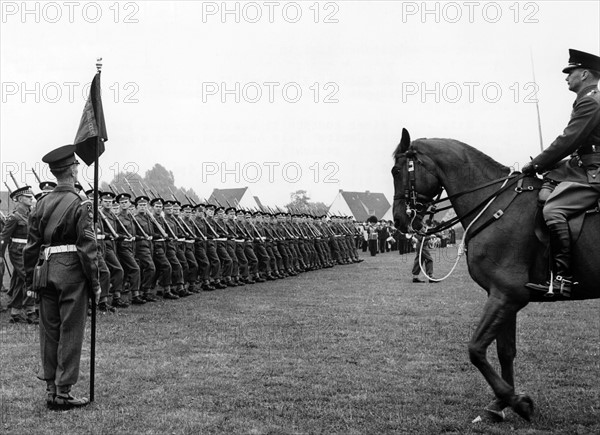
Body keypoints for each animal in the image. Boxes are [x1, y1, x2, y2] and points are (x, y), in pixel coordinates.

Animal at [392, 129, 596, 422]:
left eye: (396, 170)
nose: (398, 220)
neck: (493, 205)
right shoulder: (502, 296)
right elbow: (504, 351)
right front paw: (500, 404)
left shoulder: (507, 295)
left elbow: (476, 350)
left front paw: (517, 402)